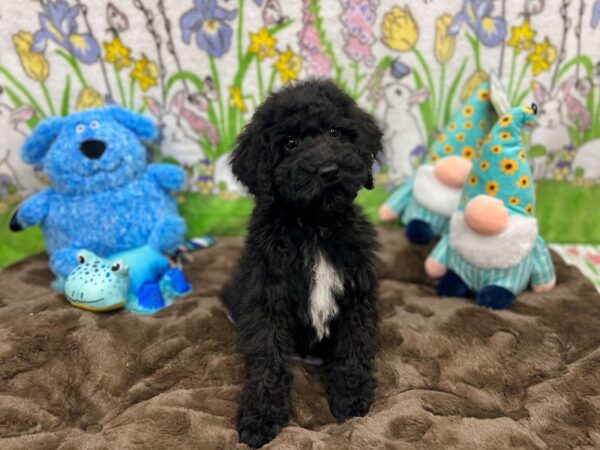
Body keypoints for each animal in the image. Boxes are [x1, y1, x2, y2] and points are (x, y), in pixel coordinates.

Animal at [221, 78, 384, 446]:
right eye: (290, 143)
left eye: (336, 133)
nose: (329, 170)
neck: (313, 225)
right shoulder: (266, 297)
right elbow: (266, 359)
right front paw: (261, 417)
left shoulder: (356, 293)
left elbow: (353, 347)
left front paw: (351, 398)